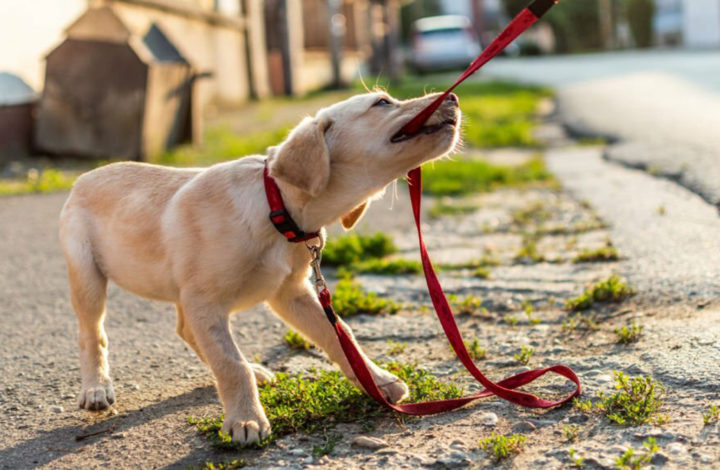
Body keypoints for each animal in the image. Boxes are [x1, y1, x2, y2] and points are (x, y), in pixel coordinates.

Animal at [59, 91, 458, 444]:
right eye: (382, 102)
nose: (453, 98)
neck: (276, 207)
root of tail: (84, 177)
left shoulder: (290, 293)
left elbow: (340, 336)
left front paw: (376, 380)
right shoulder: (205, 300)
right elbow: (229, 363)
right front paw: (245, 420)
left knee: (187, 331)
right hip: (88, 277)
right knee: (92, 334)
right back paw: (96, 389)